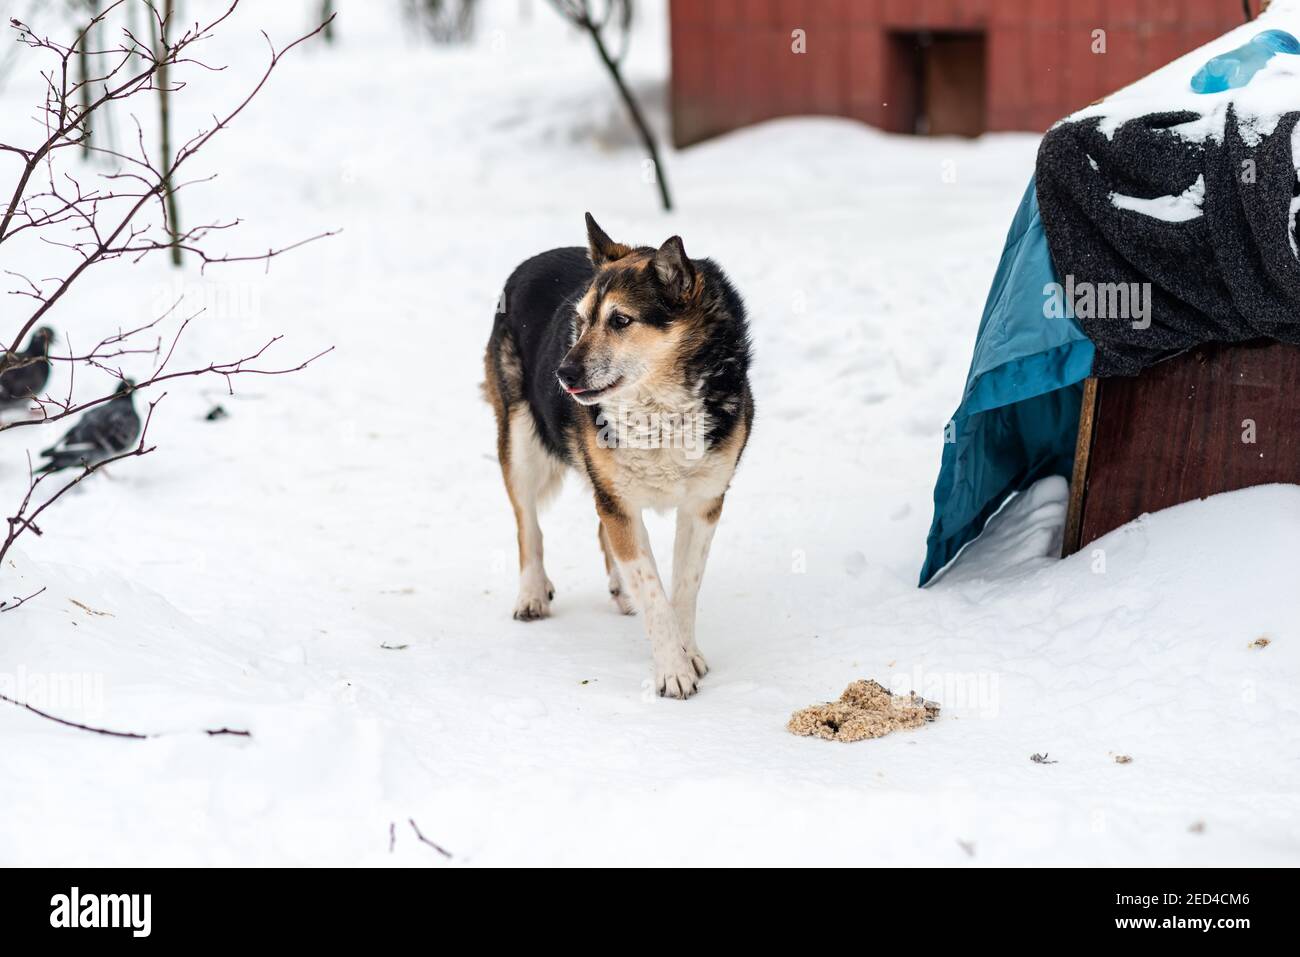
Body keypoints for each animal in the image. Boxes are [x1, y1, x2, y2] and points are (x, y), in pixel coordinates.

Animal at [486, 214, 754, 696]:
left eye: (621, 319)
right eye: (581, 320)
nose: (562, 374)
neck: (659, 410)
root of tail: (532, 260)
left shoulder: (703, 502)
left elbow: (684, 588)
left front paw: (688, 654)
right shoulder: (620, 502)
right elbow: (653, 590)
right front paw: (672, 672)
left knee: (598, 531)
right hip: (520, 444)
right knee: (528, 526)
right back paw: (532, 593)